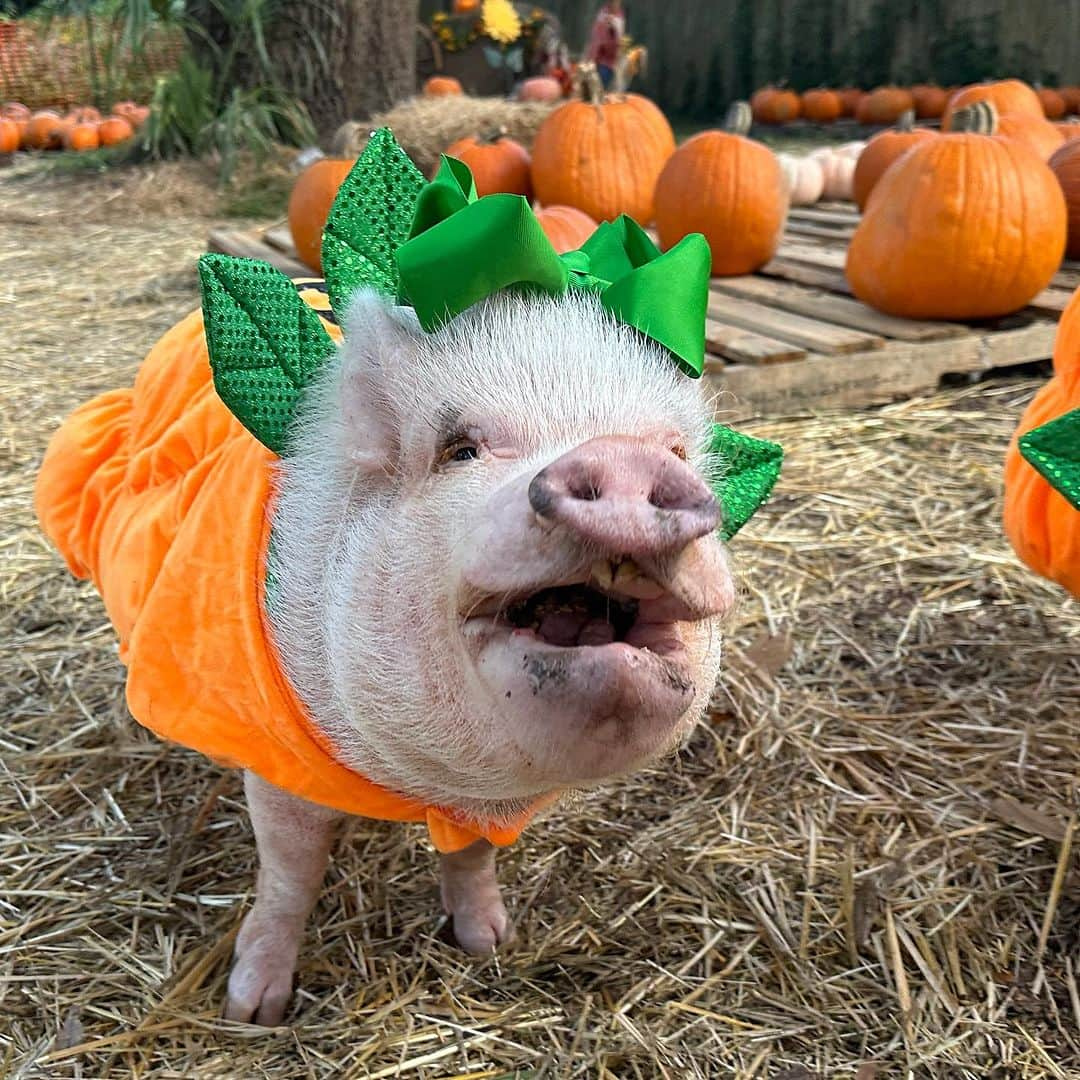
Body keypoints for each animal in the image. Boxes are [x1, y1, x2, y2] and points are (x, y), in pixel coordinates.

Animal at [216, 289, 738, 1028]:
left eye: (676, 452)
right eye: (460, 450)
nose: (624, 459)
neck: (432, 788)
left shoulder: (490, 803)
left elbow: (472, 859)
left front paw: (488, 943)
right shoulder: (278, 755)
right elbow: (292, 872)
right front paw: (253, 1012)